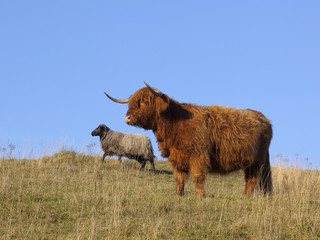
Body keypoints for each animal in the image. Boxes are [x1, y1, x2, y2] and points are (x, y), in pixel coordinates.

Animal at [104, 82, 272, 197]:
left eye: (145, 101)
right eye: (131, 103)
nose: (127, 118)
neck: (173, 123)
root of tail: (262, 117)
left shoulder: (198, 155)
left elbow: (198, 177)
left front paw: (200, 196)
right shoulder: (176, 157)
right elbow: (179, 178)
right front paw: (179, 194)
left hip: (256, 162)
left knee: (252, 179)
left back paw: (245, 197)